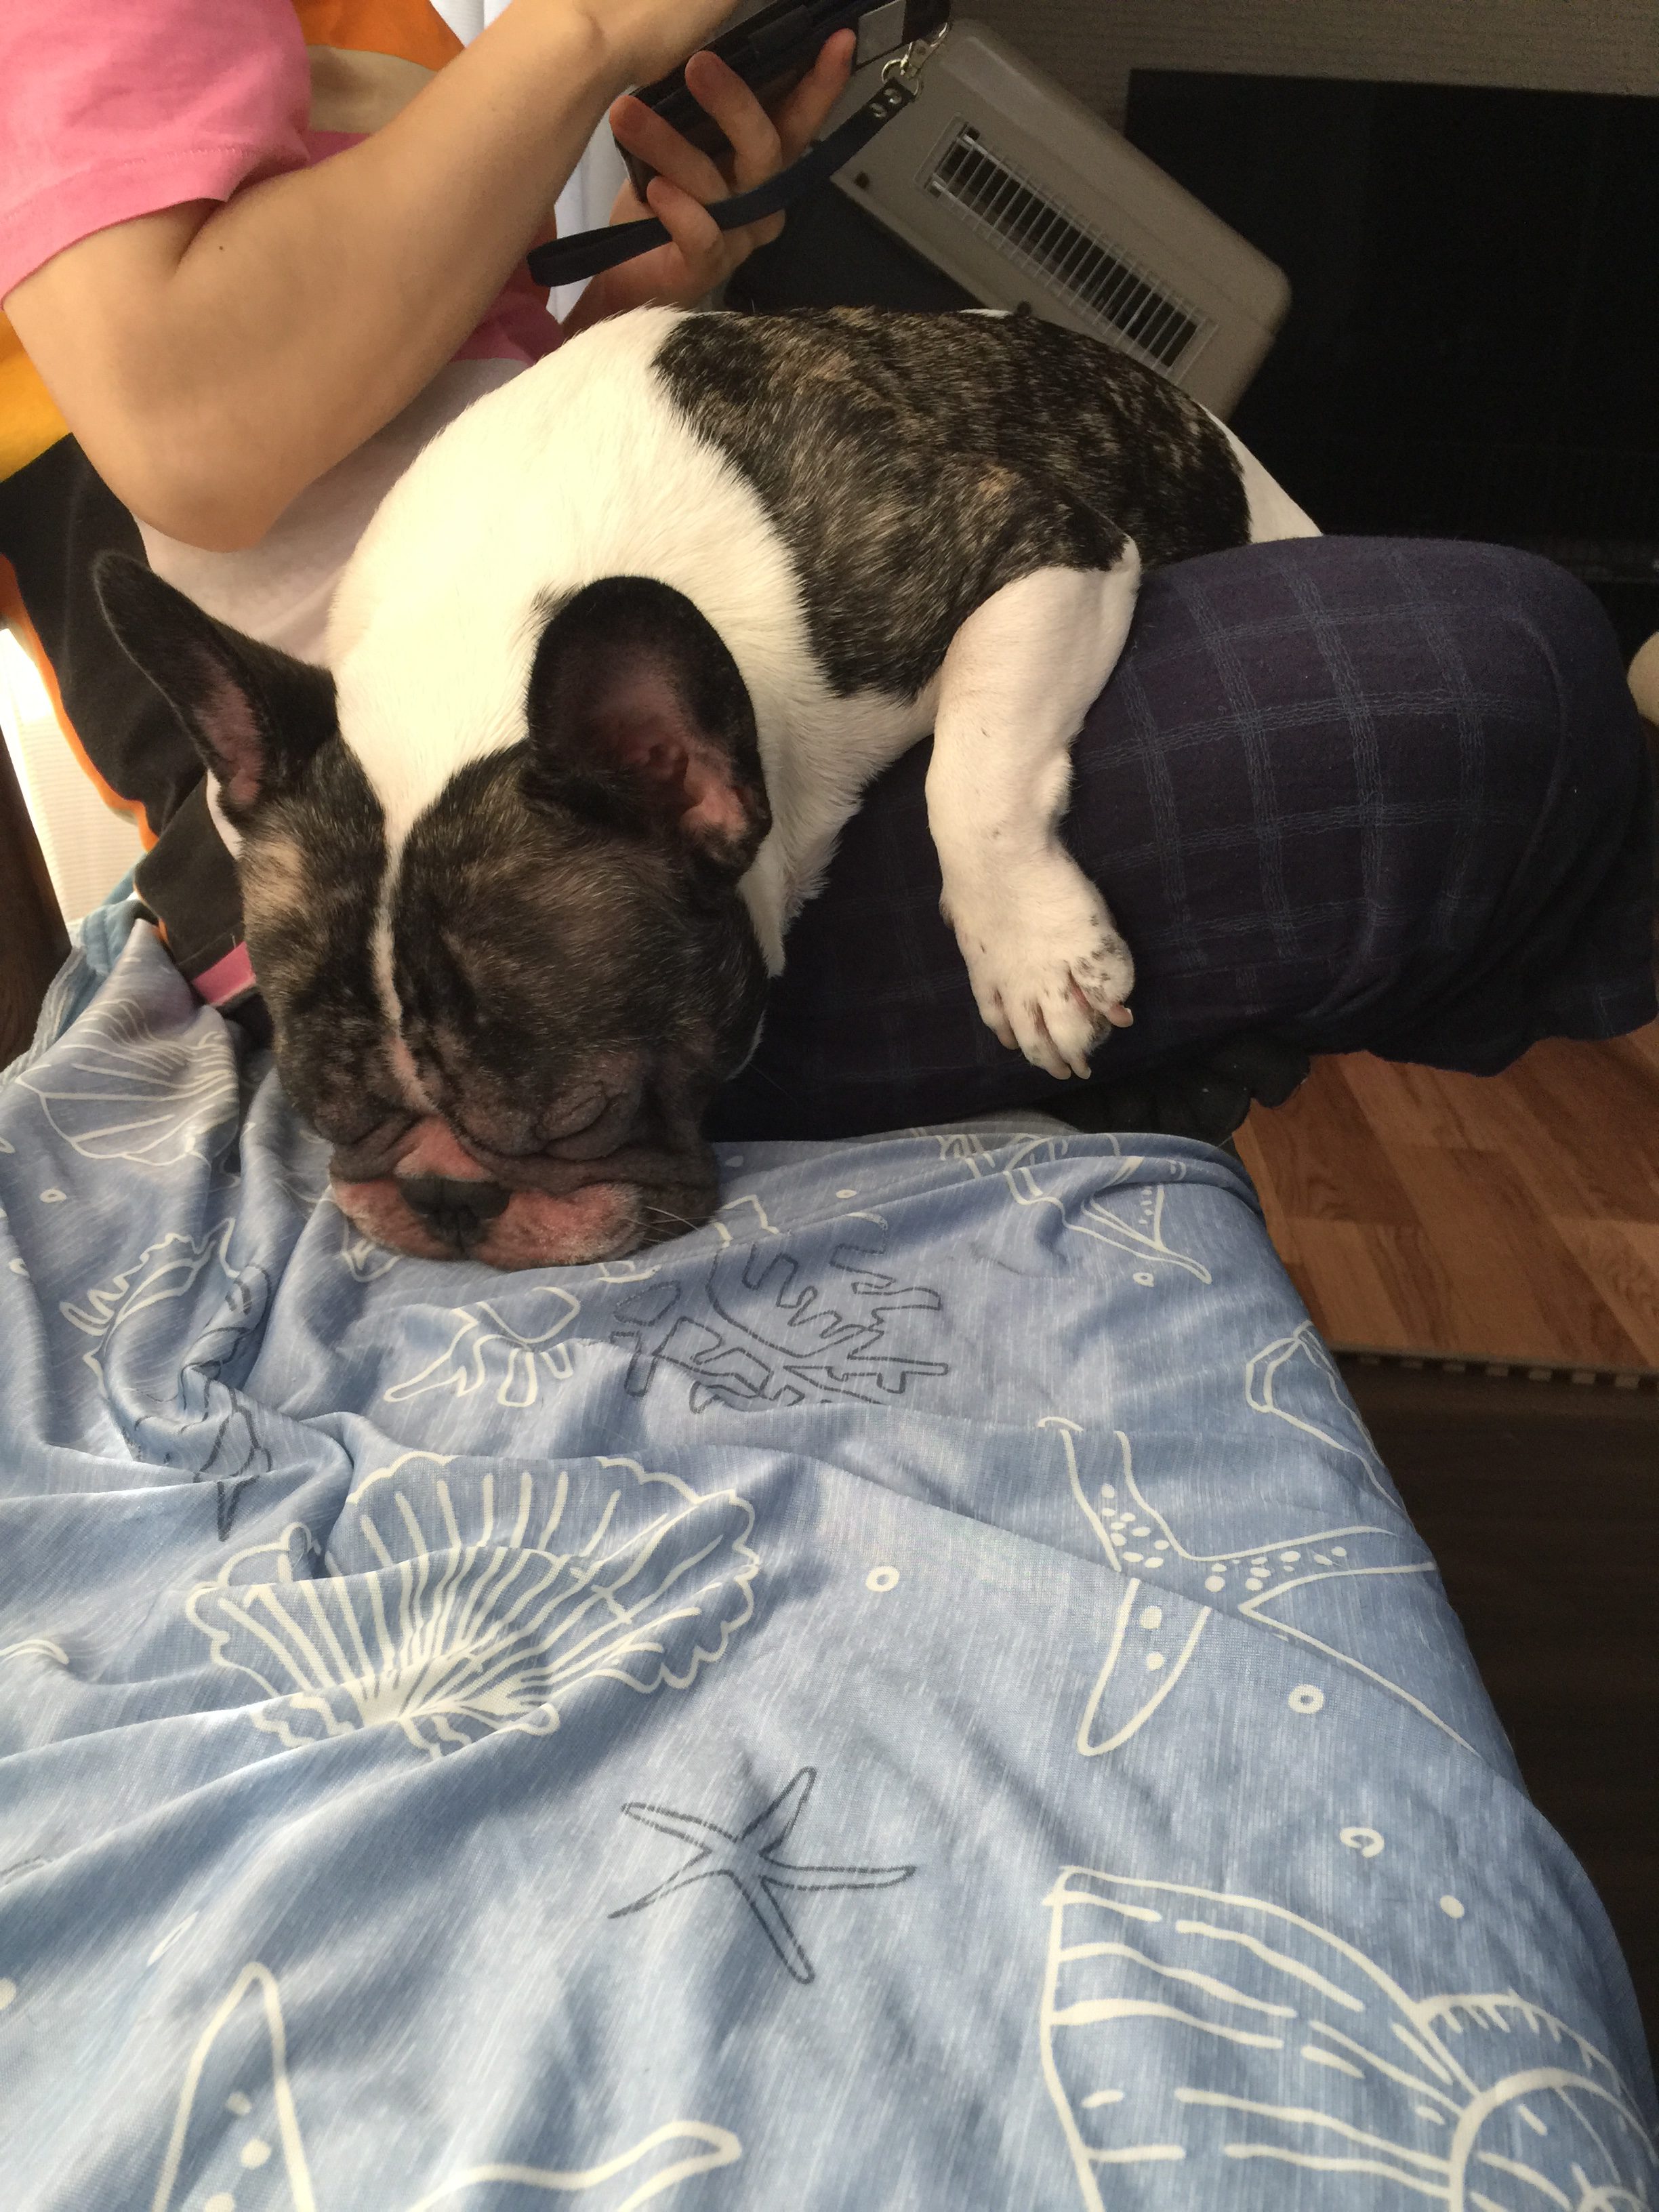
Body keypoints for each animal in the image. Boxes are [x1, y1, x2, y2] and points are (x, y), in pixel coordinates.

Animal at [100, 305, 1316, 1268]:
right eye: (323, 1111)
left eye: (577, 1119)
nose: (445, 1197)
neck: (489, 620)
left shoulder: (1038, 548)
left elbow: (971, 769)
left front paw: (1028, 951)